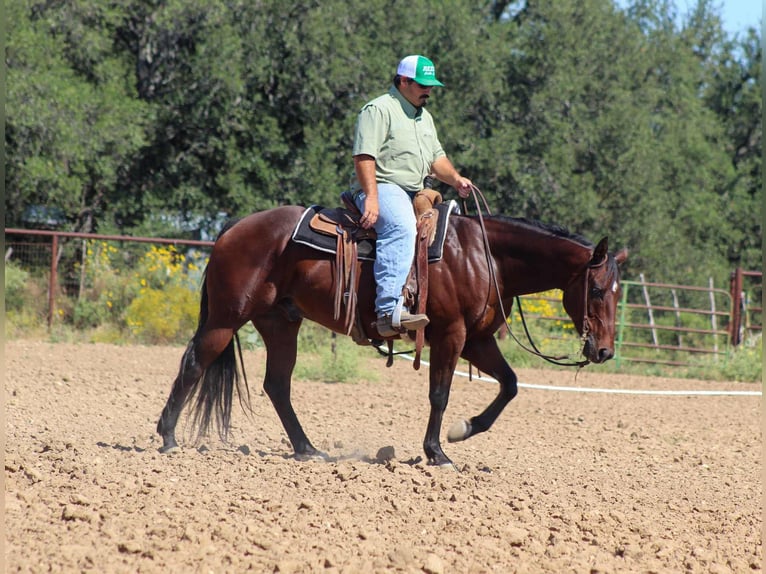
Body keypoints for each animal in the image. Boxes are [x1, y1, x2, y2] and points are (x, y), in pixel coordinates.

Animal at [156, 204, 628, 467]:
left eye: (619, 292)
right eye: (597, 290)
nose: (604, 351)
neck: (484, 256)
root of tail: (233, 229)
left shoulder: (478, 340)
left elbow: (509, 385)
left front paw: (463, 430)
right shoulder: (451, 334)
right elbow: (440, 393)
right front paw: (437, 452)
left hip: (280, 323)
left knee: (277, 385)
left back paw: (308, 449)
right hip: (226, 318)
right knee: (195, 364)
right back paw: (168, 439)